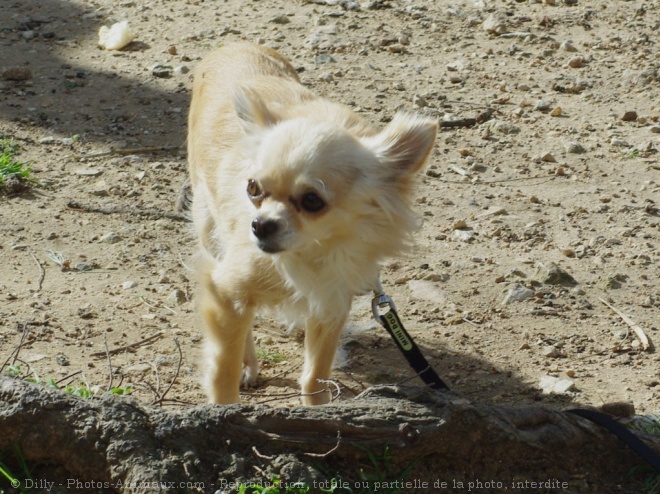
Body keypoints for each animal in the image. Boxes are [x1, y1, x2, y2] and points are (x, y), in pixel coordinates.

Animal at [186, 43, 438, 406]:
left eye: (312, 201)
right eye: (253, 189)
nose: (259, 225)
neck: (312, 252)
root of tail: (235, 44)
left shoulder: (332, 299)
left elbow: (315, 374)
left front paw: (318, 409)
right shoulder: (226, 287)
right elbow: (223, 370)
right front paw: (225, 408)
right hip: (210, 229)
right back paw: (248, 363)